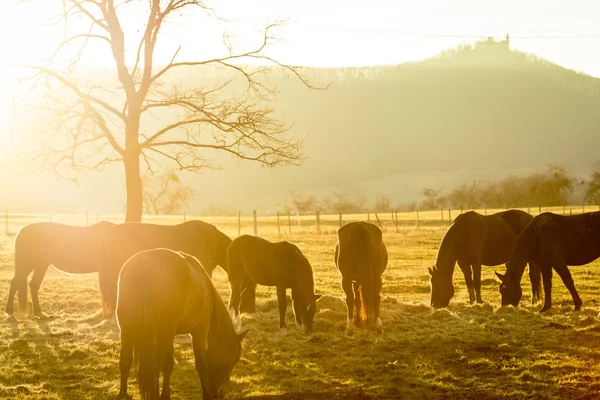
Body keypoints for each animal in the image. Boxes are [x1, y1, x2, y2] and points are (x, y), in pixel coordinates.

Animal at [116, 248, 247, 398]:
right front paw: (206, 394)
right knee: (163, 365)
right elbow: (200, 364)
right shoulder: (200, 331)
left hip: (126, 330)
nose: (220, 393)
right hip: (165, 333)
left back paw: (123, 393)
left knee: (125, 361)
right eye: (234, 360)